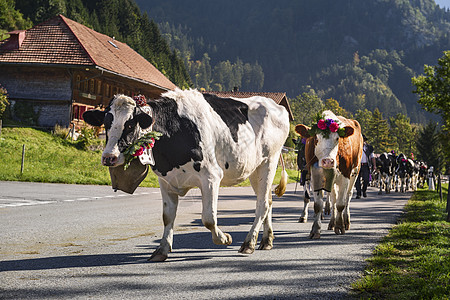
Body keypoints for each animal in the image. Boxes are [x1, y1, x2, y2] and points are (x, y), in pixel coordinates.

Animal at [82, 88, 290, 260]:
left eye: (130, 125)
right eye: (106, 123)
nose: (109, 157)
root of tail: (276, 105)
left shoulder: (211, 176)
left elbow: (208, 218)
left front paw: (224, 239)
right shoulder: (165, 181)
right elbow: (167, 216)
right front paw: (161, 250)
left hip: (268, 162)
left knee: (262, 204)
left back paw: (249, 243)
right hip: (255, 169)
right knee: (268, 201)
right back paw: (266, 241)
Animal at [296, 110, 362, 239]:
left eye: (337, 138)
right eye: (316, 138)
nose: (328, 161)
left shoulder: (345, 176)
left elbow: (341, 204)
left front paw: (340, 226)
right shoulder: (313, 177)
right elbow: (318, 205)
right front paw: (315, 230)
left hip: (355, 172)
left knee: (348, 196)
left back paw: (346, 221)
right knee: (333, 197)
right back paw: (332, 222)